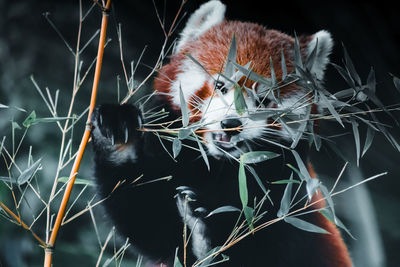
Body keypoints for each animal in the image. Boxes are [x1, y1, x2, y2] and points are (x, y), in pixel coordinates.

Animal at [91, 1, 354, 266]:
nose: (231, 123)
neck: (216, 166)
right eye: (221, 86)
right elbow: (145, 221)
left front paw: (204, 233)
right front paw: (118, 135)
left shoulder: (287, 198)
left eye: (263, 100)